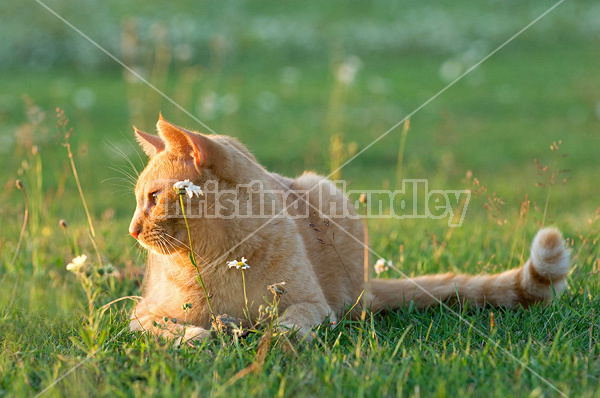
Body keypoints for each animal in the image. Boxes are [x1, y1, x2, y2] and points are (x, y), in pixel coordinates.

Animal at [127, 116, 572, 342]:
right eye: (138, 199)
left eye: (153, 198)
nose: (132, 230)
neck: (219, 258)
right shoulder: (140, 316)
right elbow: (175, 330)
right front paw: (205, 335)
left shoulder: (313, 305)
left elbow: (292, 324)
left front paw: (271, 336)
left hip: (325, 197)